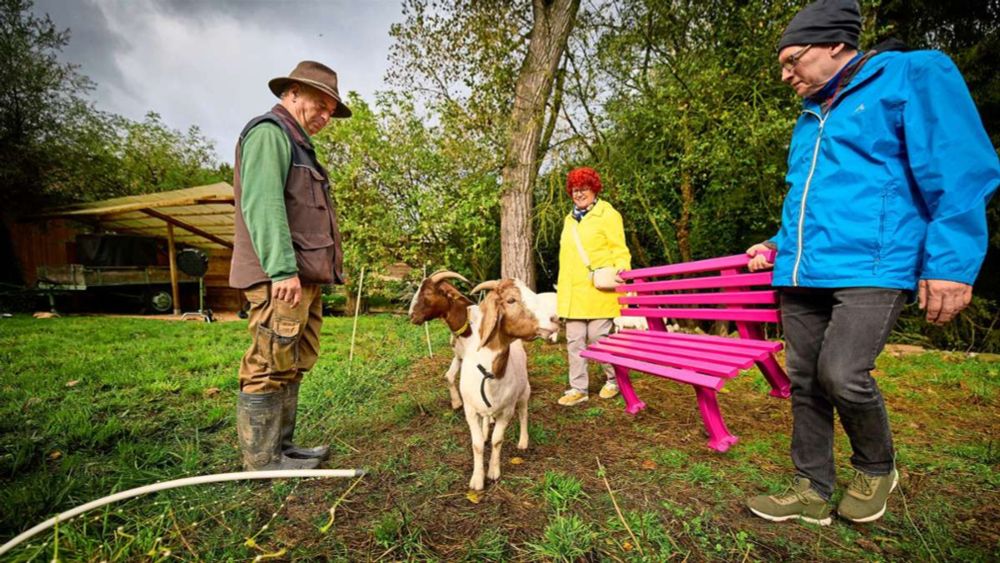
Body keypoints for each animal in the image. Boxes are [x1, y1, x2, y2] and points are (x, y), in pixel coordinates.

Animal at [458, 280, 560, 492]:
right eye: (511, 300)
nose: (555, 318)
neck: (489, 373)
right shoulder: (470, 410)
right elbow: (477, 443)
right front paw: (477, 480)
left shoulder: (507, 410)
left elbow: (497, 440)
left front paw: (493, 472)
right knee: (486, 420)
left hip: (524, 392)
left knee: (523, 414)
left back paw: (523, 441)